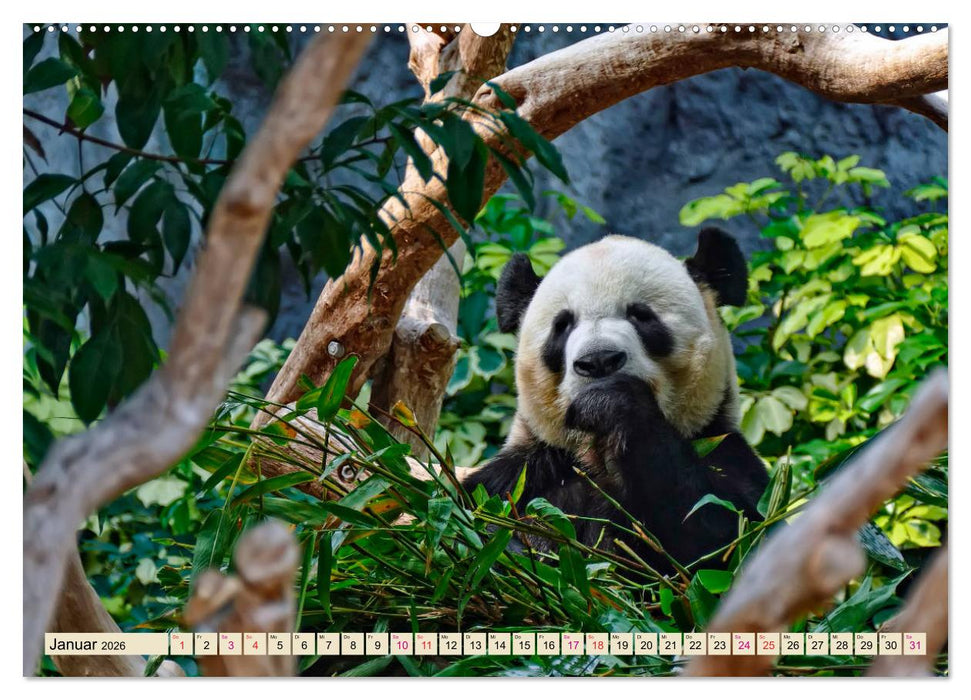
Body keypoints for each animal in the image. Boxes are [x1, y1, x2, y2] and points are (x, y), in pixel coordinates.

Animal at [462, 228, 769, 573]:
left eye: (641, 315)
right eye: (562, 325)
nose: (598, 360)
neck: (594, 454)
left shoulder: (722, 448)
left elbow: (726, 538)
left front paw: (611, 401)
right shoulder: (525, 472)